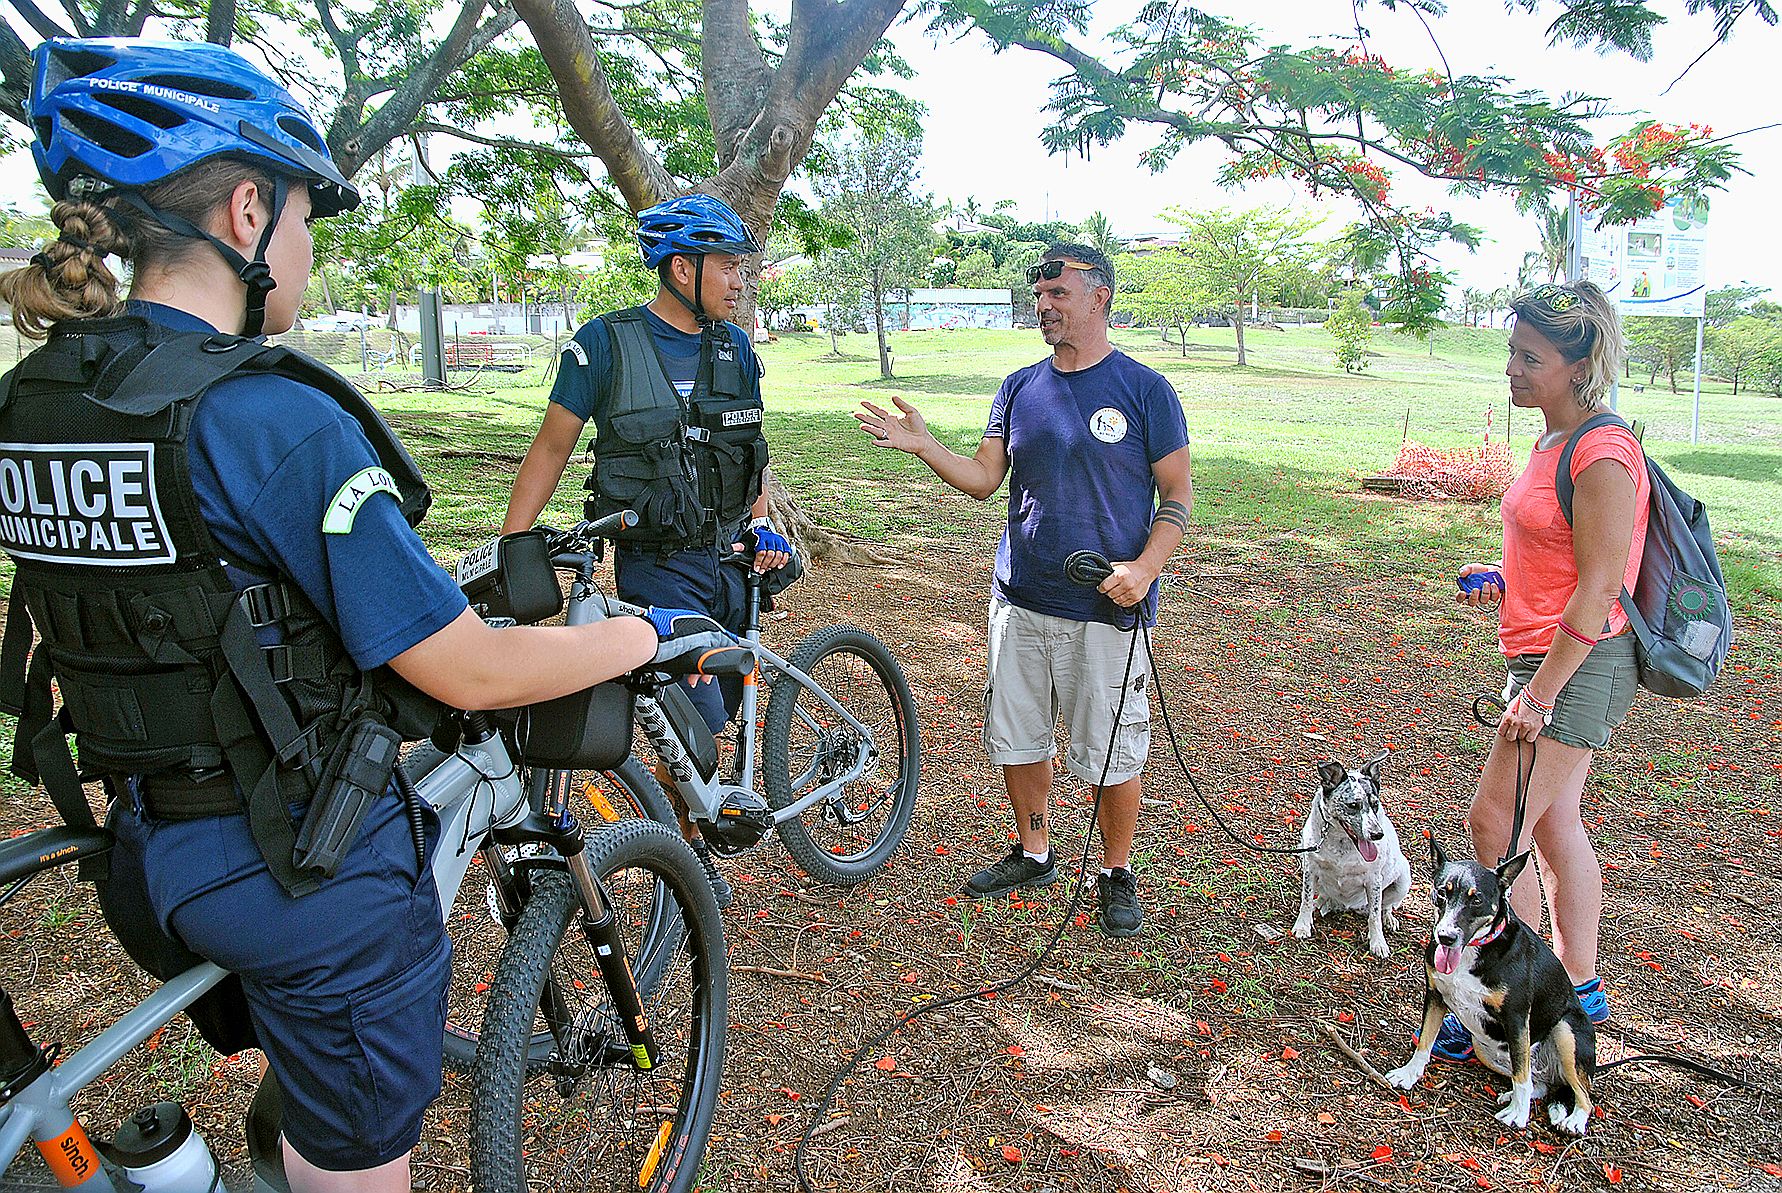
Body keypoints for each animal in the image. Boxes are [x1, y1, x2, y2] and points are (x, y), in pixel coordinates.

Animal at [1290, 752, 1411, 955]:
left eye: (1375, 804)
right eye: (1353, 805)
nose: (1377, 834)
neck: (1342, 843)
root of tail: (1344, 905)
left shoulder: (1374, 880)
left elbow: (1375, 916)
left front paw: (1378, 943)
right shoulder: (1310, 869)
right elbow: (1305, 900)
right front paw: (1303, 925)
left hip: (1403, 878)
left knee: (1385, 907)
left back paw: (1389, 918)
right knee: (1322, 896)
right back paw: (1319, 903)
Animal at [1382, 834, 1596, 1134]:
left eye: (1477, 899)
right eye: (1442, 893)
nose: (1446, 937)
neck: (1473, 952)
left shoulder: (1517, 1018)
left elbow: (1521, 1074)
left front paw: (1518, 1114)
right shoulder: (1435, 996)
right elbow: (1424, 1041)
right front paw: (1409, 1074)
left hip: (1566, 1031)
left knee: (1580, 1093)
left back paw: (1573, 1119)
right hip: (1482, 1046)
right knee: (1538, 1081)